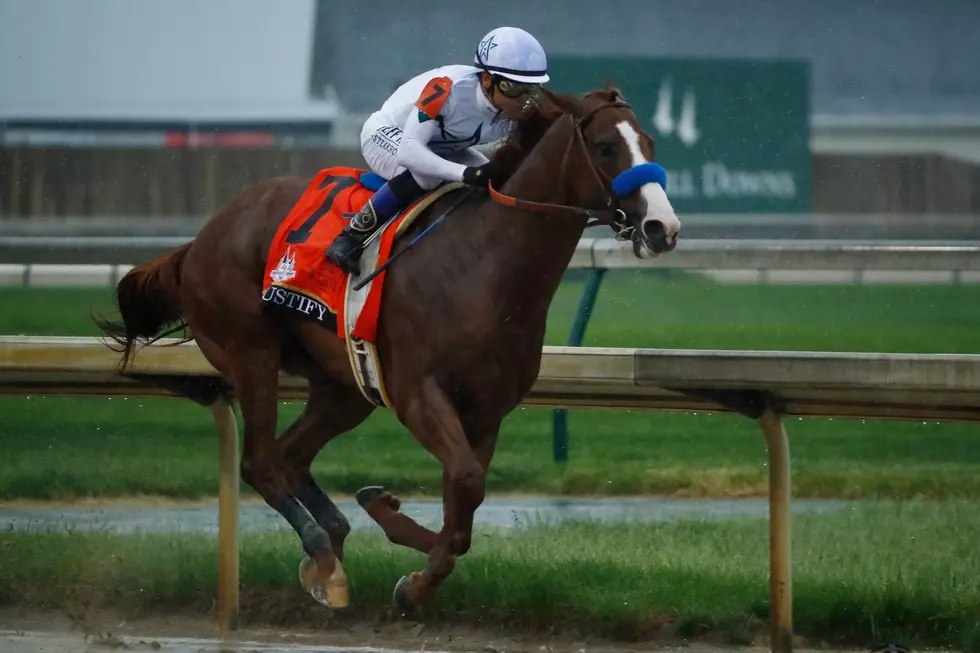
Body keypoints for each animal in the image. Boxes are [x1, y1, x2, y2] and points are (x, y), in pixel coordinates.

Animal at [97, 81, 680, 612]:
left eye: (649, 142)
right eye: (605, 147)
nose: (663, 226)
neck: (483, 265)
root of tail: (202, 237)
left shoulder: (486, 409)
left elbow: (463, 510)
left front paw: (403, 545)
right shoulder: (419, 394)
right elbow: (465, 486)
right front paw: (412, 576)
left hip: (343, 384)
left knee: (291, 454)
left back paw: (332, 540)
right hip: (251, 354)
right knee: (260, 461)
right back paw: (323, 556)